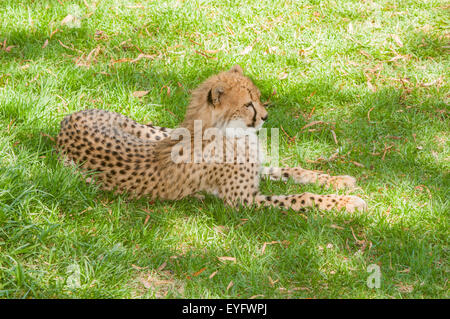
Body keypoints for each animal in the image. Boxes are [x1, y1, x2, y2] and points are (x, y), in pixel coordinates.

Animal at [57, 65, 366, 214]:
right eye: (248, 104)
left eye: (258, 98)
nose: (265, 117)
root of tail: (68, 118)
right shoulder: (242, 201)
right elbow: (300, 197)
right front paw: (347, 203)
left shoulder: (256, 172)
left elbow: (293, 170)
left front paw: (338, 181)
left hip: (155, 131)